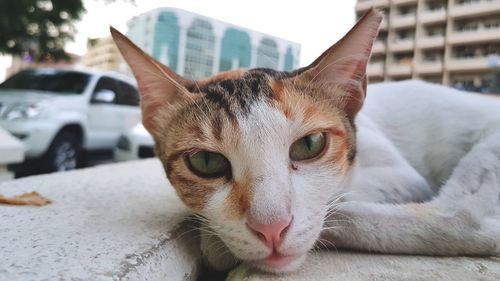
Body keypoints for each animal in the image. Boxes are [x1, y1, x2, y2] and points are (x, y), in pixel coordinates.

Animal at [110, 8, 500, 274]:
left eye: (310, 144)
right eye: (206, 163)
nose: (271, 228)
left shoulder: (404, 178)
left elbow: (338, 200)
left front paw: (216, 242)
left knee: (459, 215)